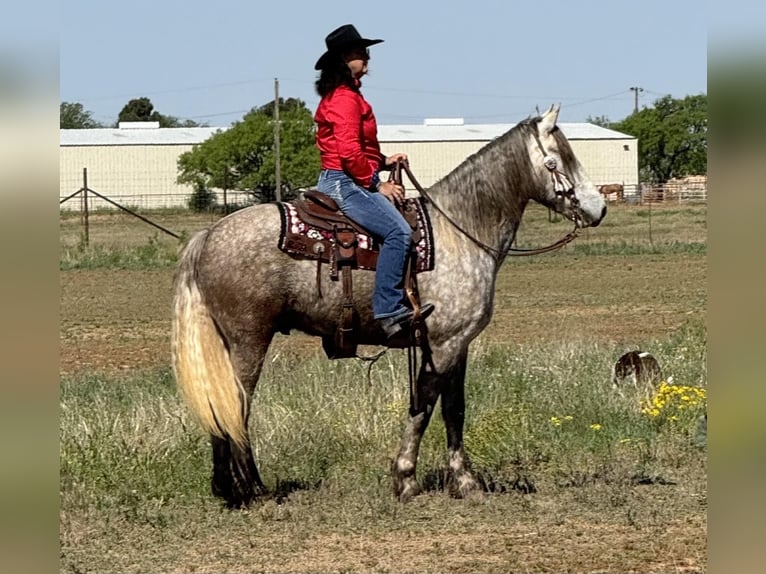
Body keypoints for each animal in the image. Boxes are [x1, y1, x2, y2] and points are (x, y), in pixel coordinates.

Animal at [171, 103, 608, 508]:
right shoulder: (442, 345)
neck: (460, 230)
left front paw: (465, 482)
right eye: (559, 159)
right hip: (249, 340)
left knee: (219, 405)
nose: (599, 208)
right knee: (236, 405)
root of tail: (209, 234)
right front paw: (406, 480)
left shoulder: (459, 345)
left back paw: (227, 489)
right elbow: (423, 408)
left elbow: (455, 410)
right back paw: (254, 490)